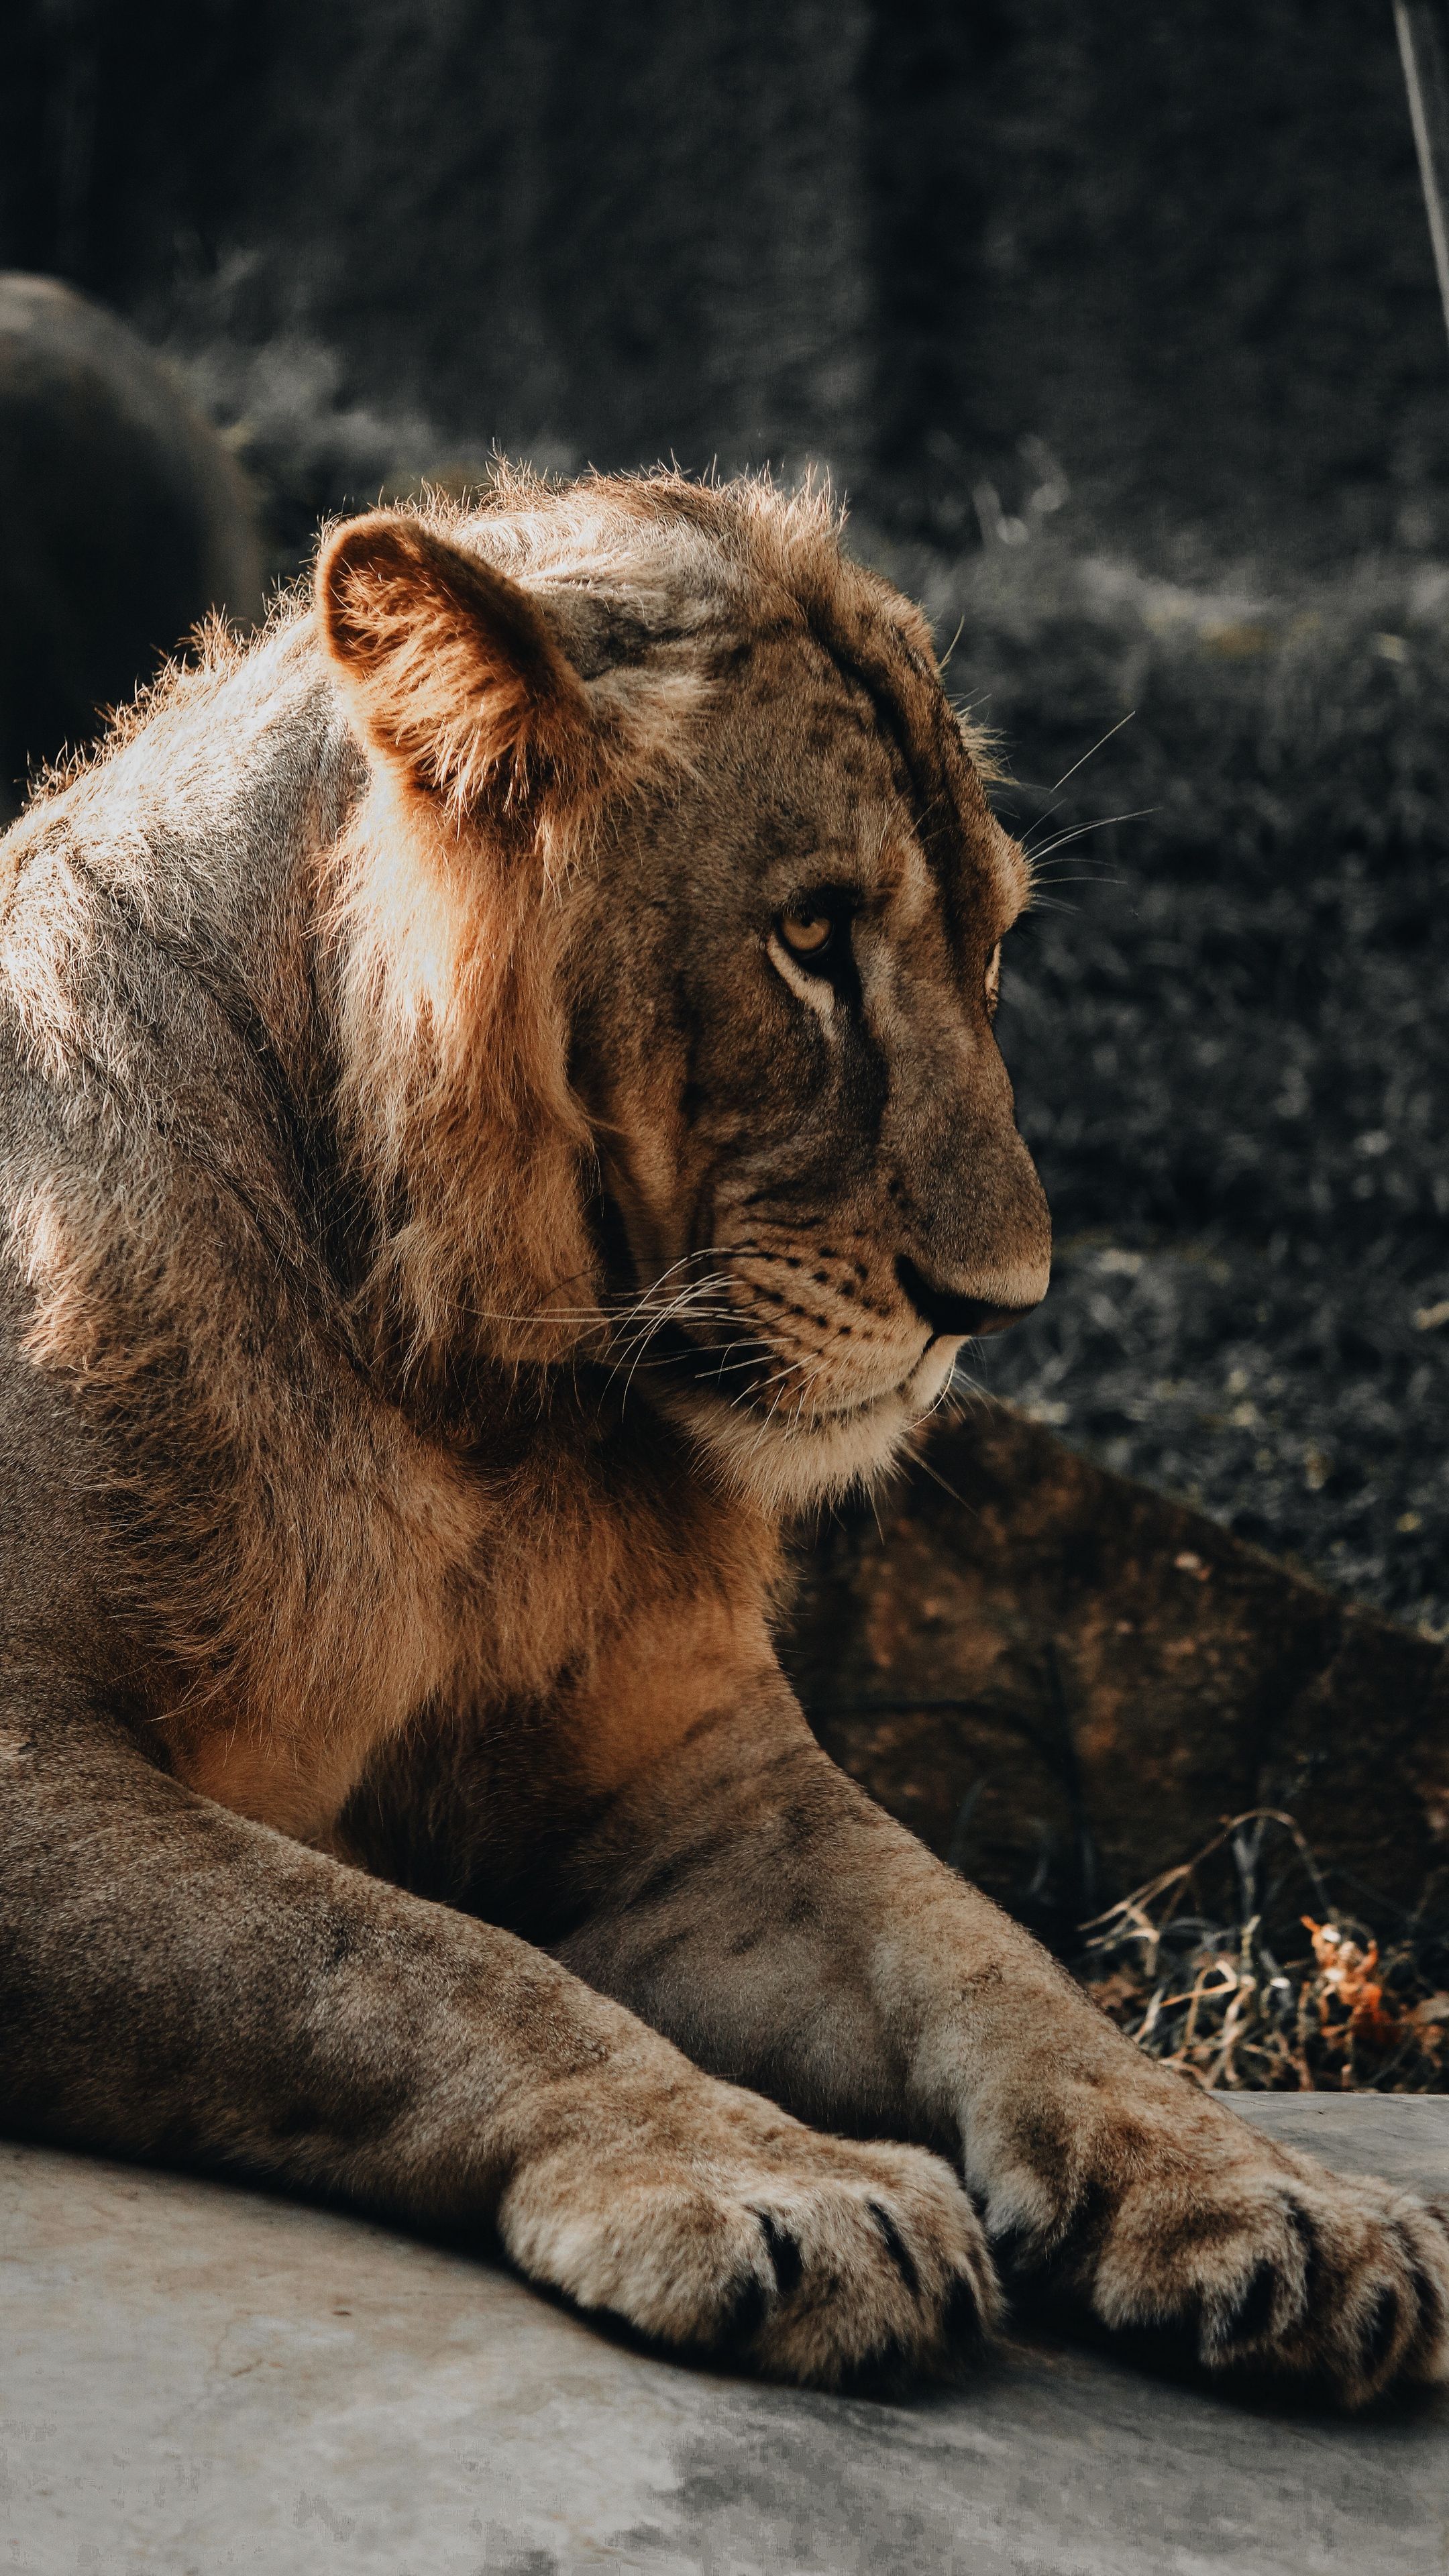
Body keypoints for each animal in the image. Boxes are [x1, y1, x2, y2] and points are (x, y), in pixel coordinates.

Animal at [1, 470, 1443, 2406]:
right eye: (812, 937)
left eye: (991, 942)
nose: (999, 1303)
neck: (469, 1401)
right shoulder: (30, 1767)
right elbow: (408, 1956)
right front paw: (776, 2184)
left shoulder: (694, 1783)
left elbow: (987, 1955)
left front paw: (1268, 2199)